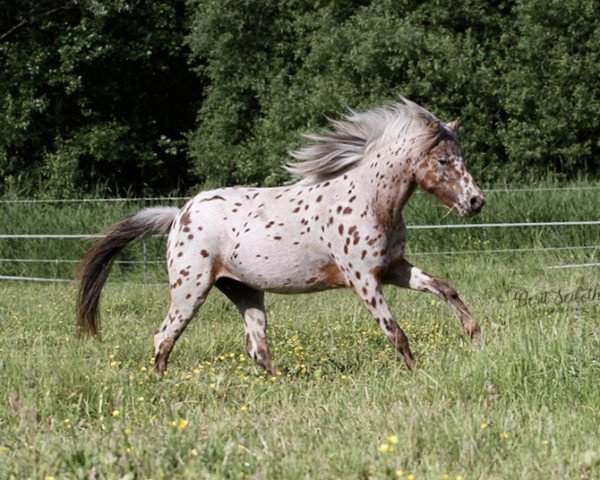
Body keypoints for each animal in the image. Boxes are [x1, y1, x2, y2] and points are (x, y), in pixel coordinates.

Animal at [76, 97, 488, 376]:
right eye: (443, 161)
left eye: (461, 157)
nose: (476, 201)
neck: (367, 198)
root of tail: (178, 215)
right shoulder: (364, 281)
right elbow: (395, 332)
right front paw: (417, 373)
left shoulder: (393, 269)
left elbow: (445, 288)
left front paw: (475, 335)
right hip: (190, 290)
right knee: (164, 336)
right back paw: (160, 383)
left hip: (244, 291)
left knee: (257, 348)